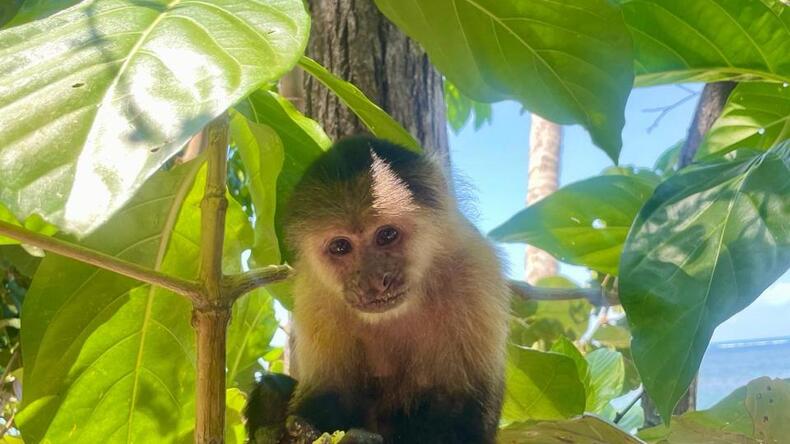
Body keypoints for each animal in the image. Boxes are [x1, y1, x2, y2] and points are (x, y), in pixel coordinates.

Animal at [246, 136, 510, 443]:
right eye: (340, 246)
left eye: (387, 235)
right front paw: (296, 431)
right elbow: (327, 394)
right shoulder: (313, 293)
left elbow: (465, 418)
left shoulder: (476, 272)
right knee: (273, 388)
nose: (372, 282)